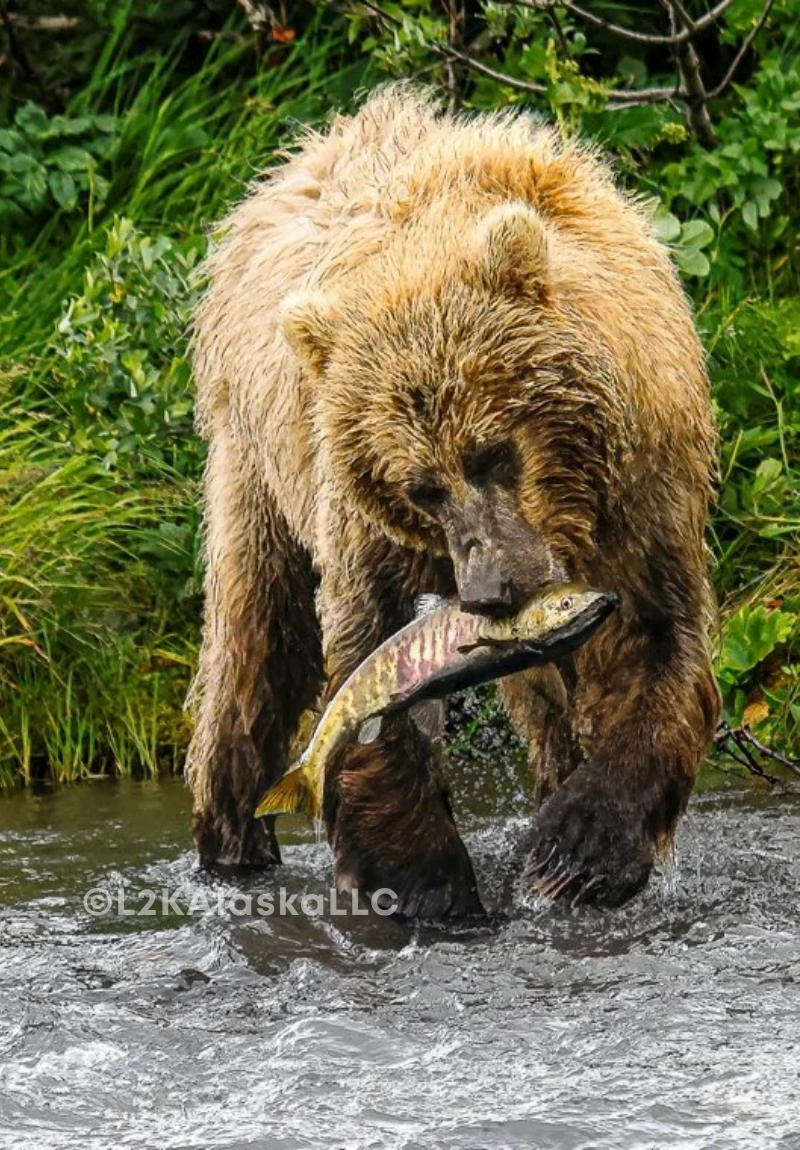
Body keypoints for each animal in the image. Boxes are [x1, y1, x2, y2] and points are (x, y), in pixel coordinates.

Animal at [186, 84, 720, 916]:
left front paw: (574, 853)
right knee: (256, 640)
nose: (493, 589)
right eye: (419, 486)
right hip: (254, 464)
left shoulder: (643, 486)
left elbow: (654, 639)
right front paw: (421, 882)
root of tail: (283, 169)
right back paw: (234, 841)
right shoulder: (366, 527)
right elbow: (368, 662)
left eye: (493, 451)